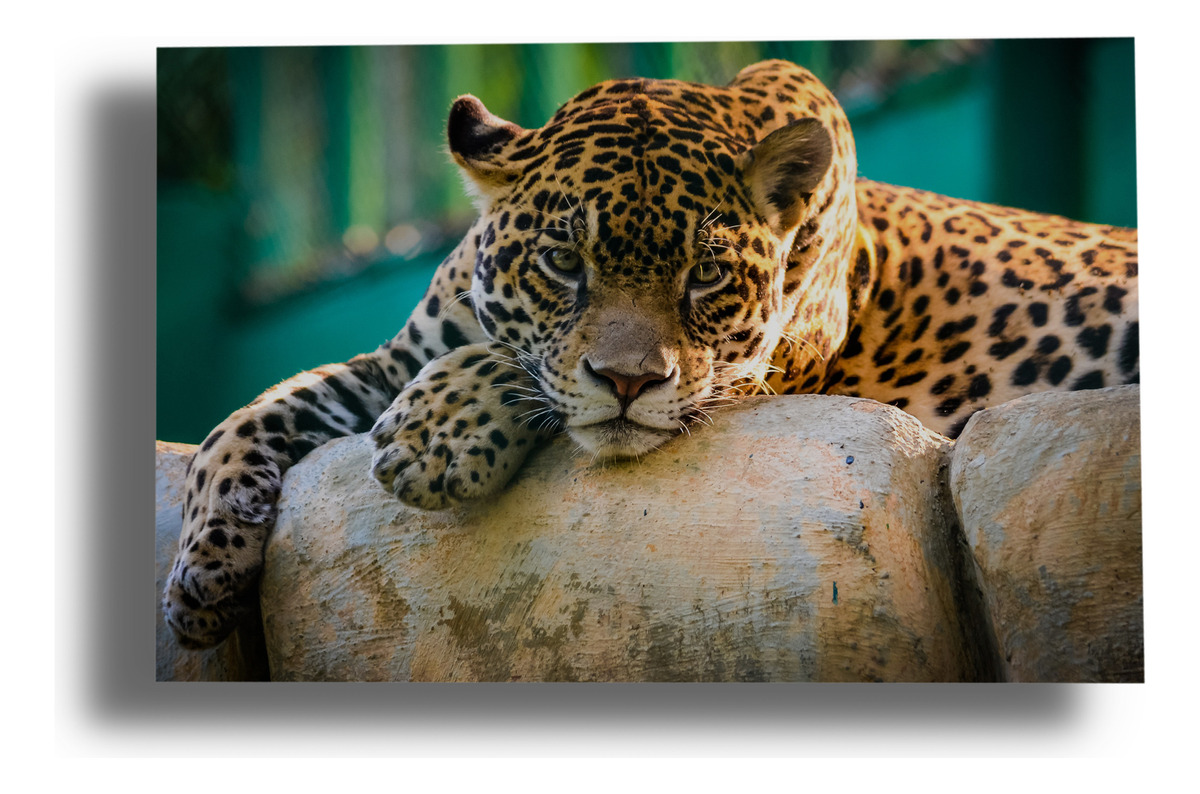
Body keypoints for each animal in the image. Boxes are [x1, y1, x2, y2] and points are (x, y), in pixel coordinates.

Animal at [163, 59, 1138, 650]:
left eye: (705, 274)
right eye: (564, 262)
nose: (631, 381)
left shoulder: (761, 369)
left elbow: (531, 374)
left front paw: (435, 436)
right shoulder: (392, 359)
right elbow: (244, 420)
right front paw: (200, 575)